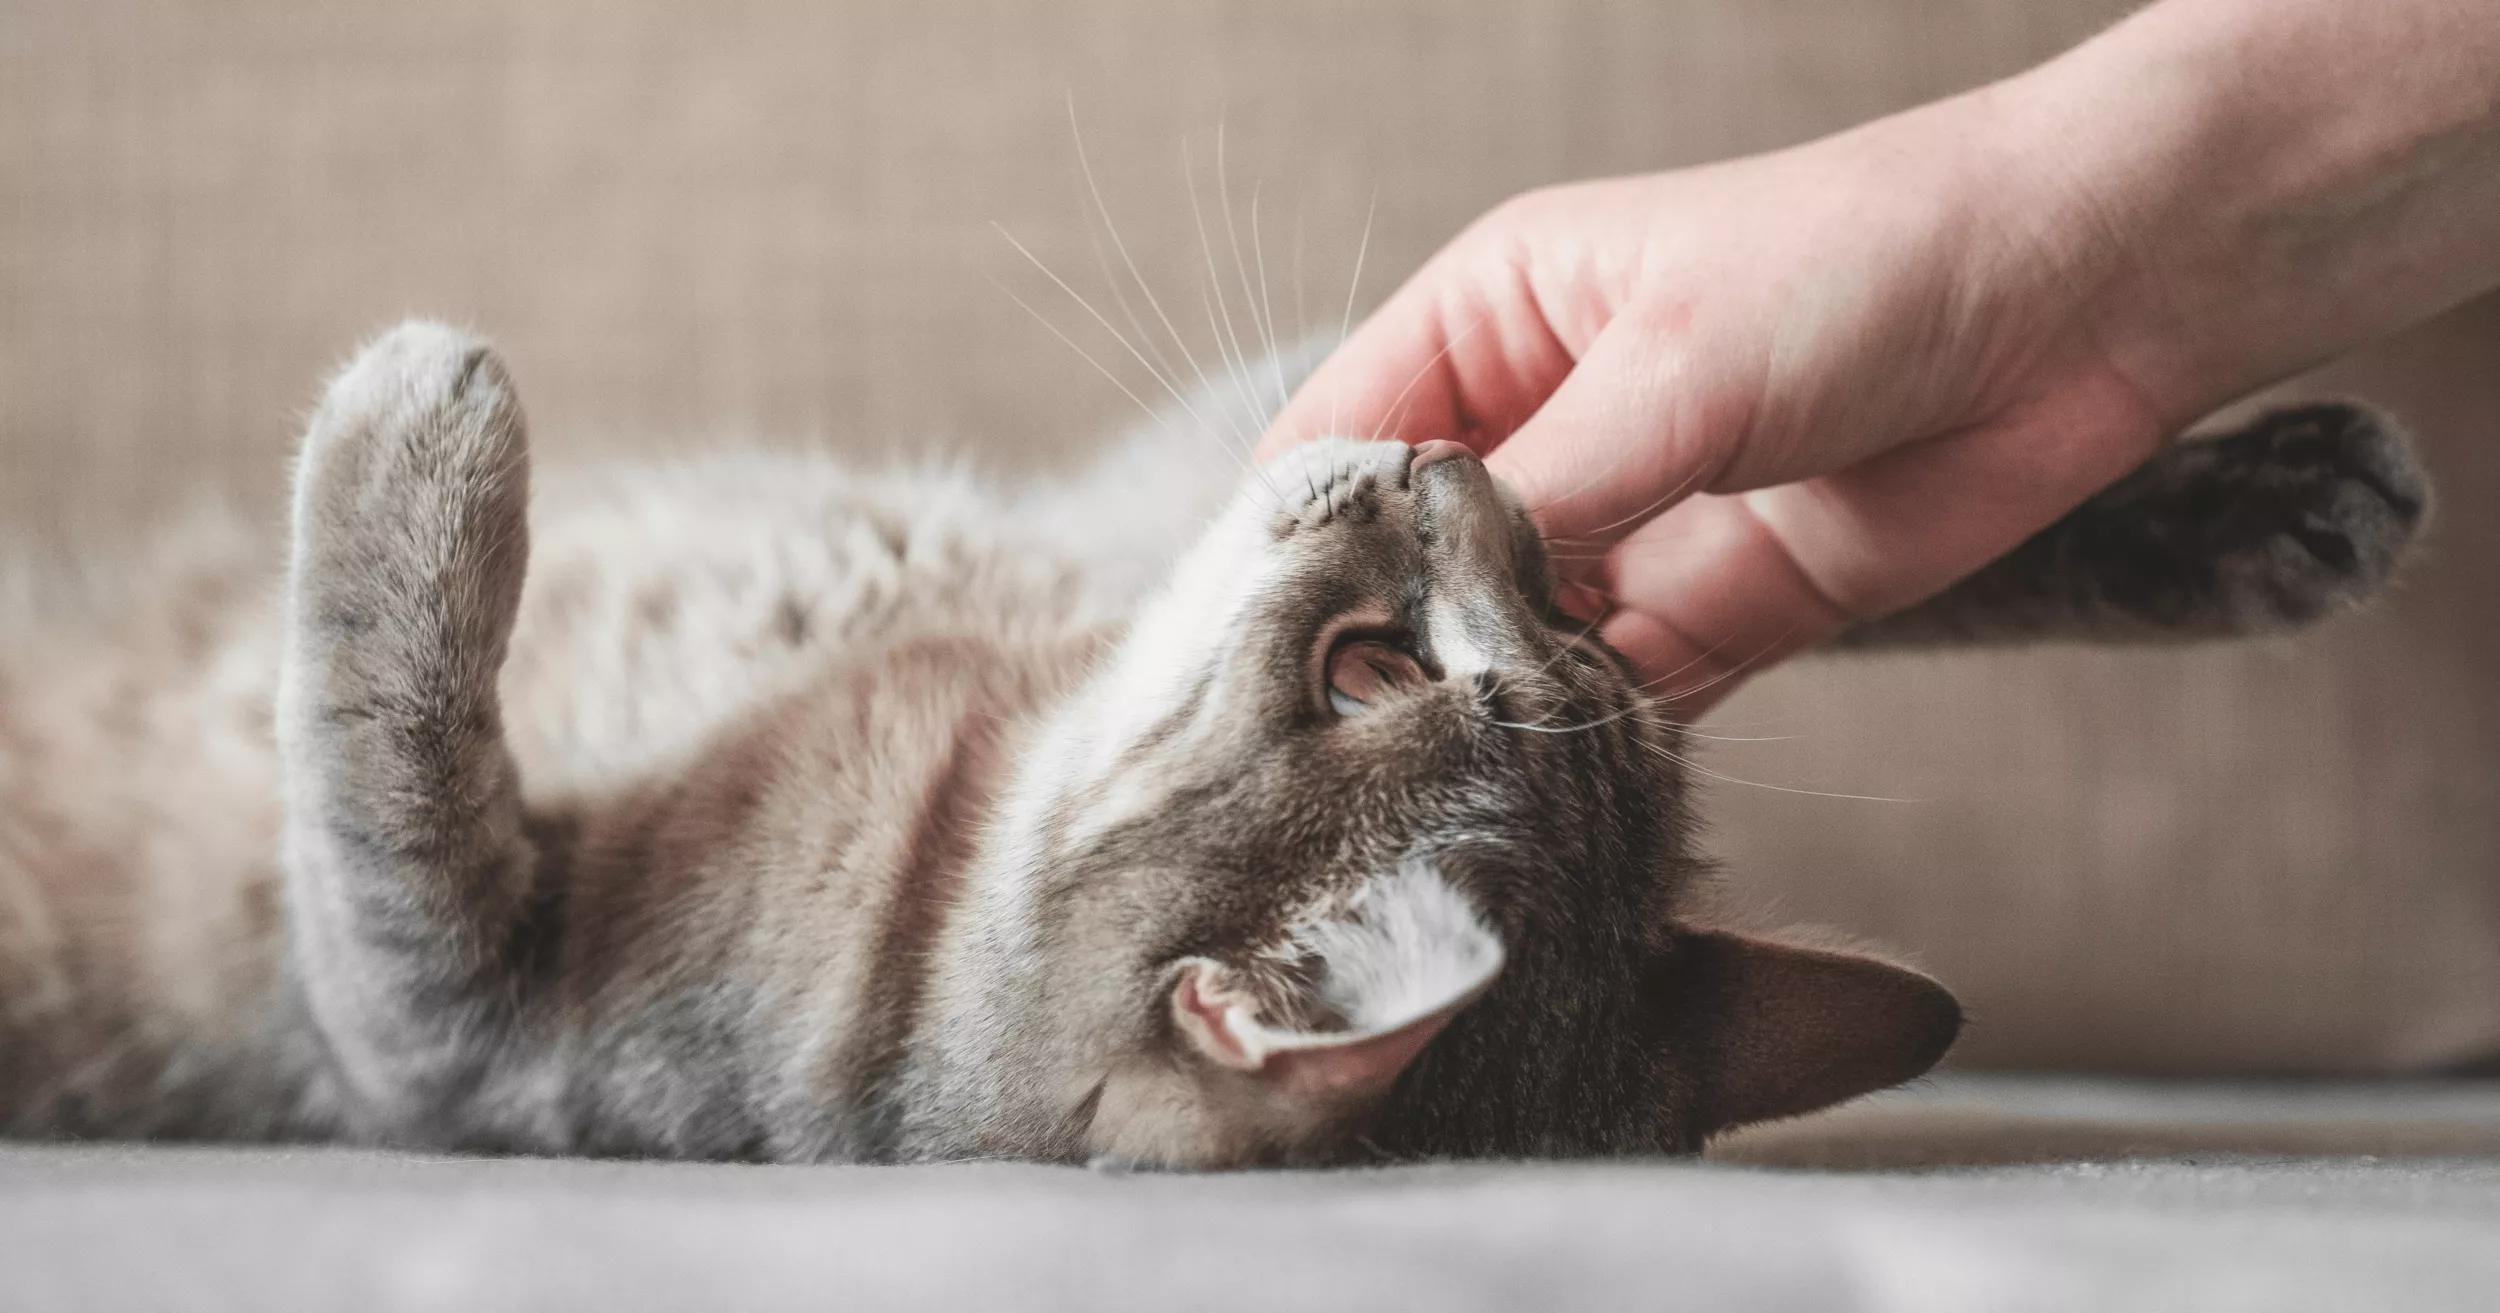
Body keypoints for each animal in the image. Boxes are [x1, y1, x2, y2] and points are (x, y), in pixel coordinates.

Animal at [0, 322, 2420, 1160]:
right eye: (1374, 663)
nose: (1453, 458)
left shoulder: (431, 1032)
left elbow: (377, 761)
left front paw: (421, 425)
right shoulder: (1153, 479)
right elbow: (1856, 520)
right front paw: (2250, 506)